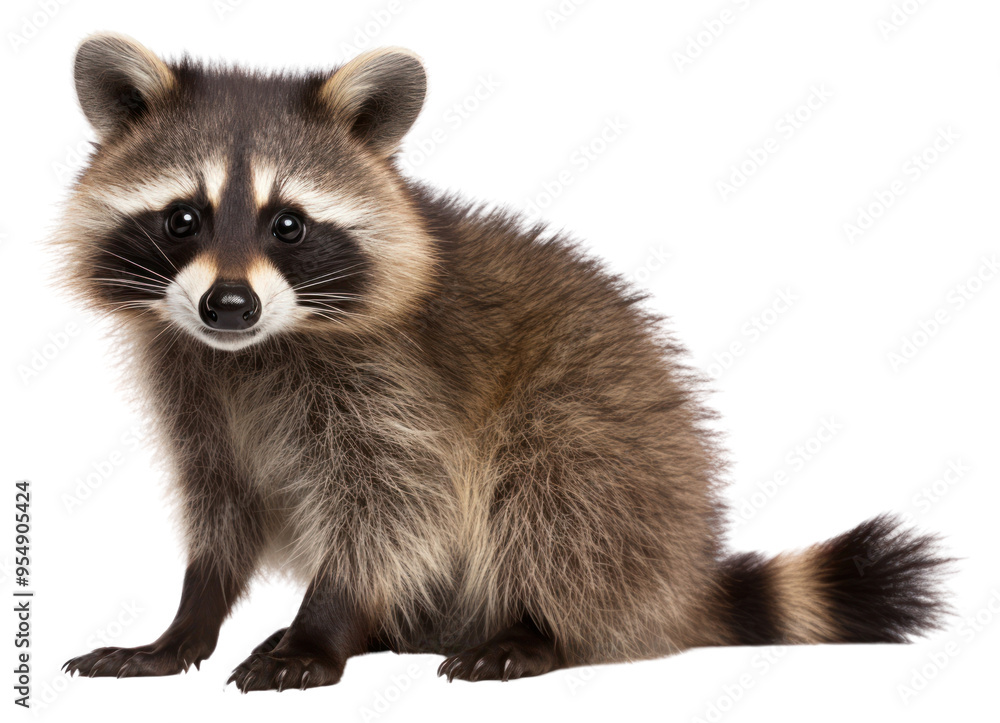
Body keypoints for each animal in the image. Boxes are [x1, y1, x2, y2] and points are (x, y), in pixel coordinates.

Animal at [58, 33, 950, 692]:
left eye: (288, 225)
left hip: (616, 451)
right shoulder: (195, 386)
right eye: (183, 218)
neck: (254, 350)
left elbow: (392, 505)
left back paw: (535, 628)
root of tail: (677, 576)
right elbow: (224, 504)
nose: (229, 306)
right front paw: (189, 616)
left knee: (553, 485)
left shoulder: (396, 381)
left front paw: (325, 622)